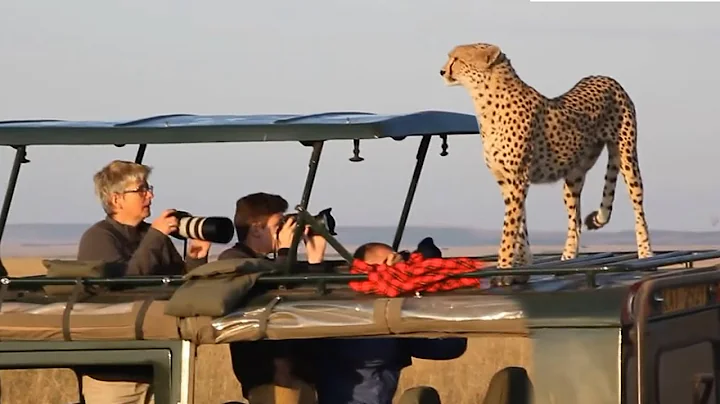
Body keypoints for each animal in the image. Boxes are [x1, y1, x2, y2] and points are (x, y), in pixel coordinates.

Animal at [439, 42, 653, 286]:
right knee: (575, 221)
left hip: (627, 157)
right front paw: (523, 264)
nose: (442, 71)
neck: (486, 97)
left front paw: (503, 269)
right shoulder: (507, 182)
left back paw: (646, 254)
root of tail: (604, 77)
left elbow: (509, 228)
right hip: (573, 178)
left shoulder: (517, 180)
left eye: (456, 59)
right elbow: (520, 225)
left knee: (638, 208)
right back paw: (567, 258)